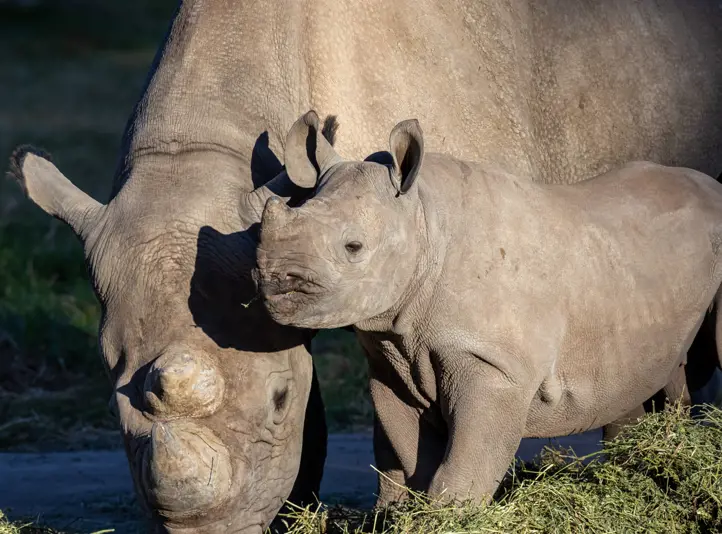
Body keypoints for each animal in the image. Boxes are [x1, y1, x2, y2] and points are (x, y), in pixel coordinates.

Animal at [257, 111, 722, 503]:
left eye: (353, 248)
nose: (273, 285)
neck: (424, 221)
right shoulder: (390, 360)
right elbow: (406, 460)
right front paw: (400, 514)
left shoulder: (493, 365)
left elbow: (462, 466)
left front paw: (450, 515)